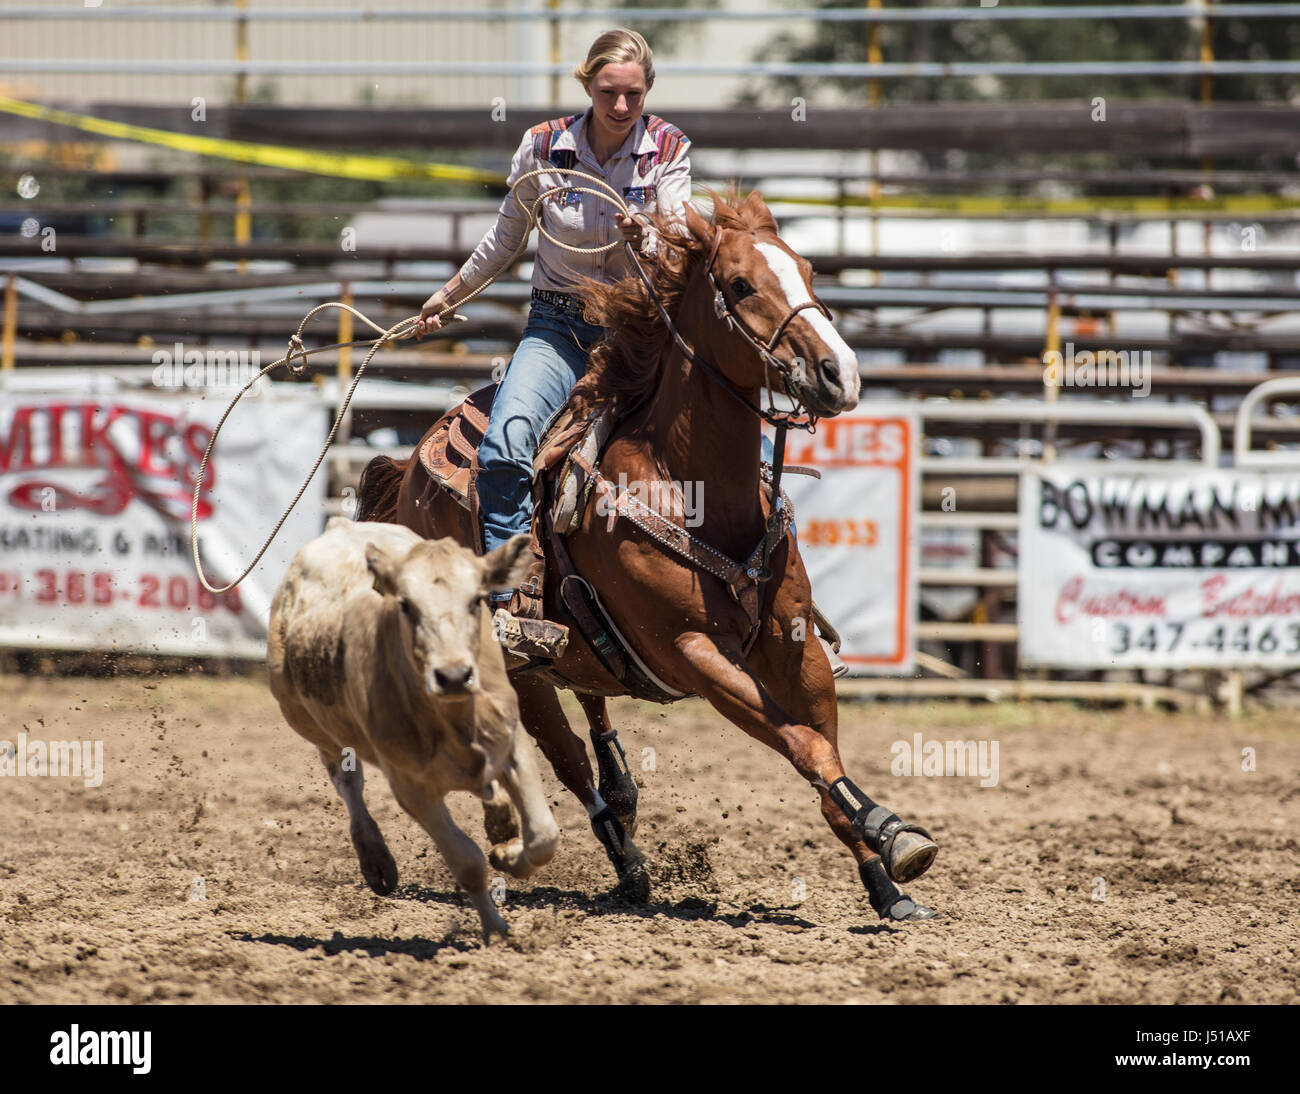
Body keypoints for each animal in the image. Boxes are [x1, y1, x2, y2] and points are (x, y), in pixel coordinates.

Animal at [266, 517, 560, 941]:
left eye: (475, 600)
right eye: (406, 604)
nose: (453, 675)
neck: (451, 717)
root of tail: (340, 524)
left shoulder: (514, 742)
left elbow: (543, 837)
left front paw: (508, 854)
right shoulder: (411, 788)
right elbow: (467, 861)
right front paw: (495, 930)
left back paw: (501, 818)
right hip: (308, 720)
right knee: (346, 780)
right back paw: (376, 859)